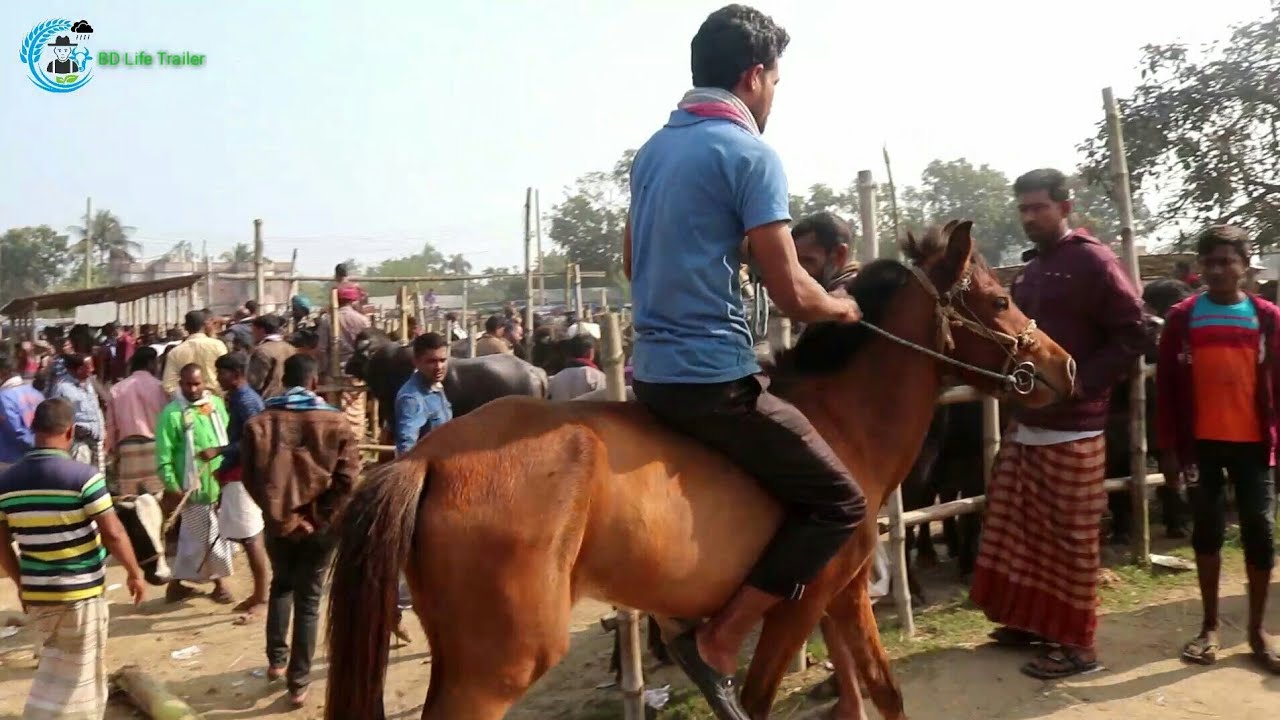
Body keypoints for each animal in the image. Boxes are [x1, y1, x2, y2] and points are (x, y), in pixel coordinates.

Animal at [324, 220, 1076, 720]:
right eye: (999, 299)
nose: (1063, 364)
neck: (841, 423)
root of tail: (429, 457)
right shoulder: (799, 602)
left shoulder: (841, 594)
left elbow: (882, 695)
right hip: (496, 668)